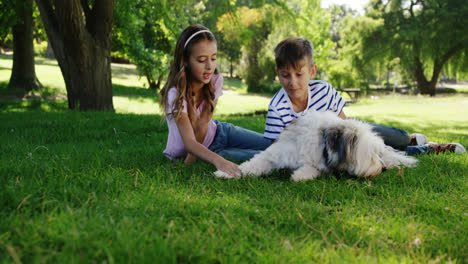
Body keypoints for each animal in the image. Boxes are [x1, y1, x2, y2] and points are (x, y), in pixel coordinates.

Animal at [214, 110, 418, 180]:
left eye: (375, 154)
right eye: (369, 156)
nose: (382, 168)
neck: (323, 141)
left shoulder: (321, 164)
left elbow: (313, 169)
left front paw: (301, 175)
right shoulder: (274, 154)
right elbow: (252, 165)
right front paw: (227, 172)